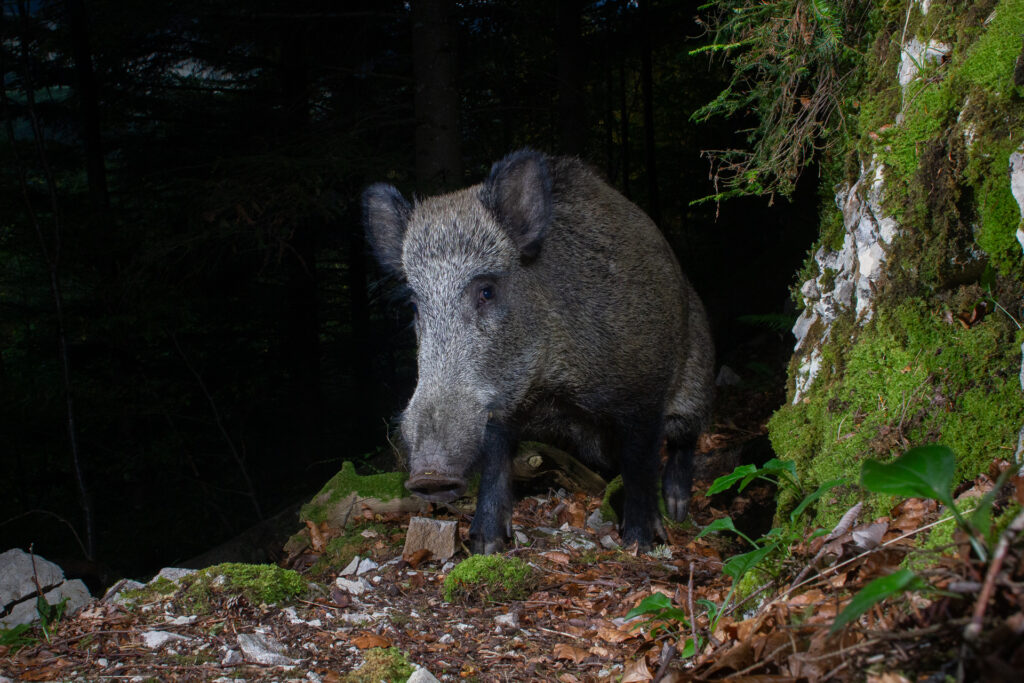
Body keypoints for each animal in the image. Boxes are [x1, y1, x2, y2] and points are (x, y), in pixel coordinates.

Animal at [363, 149, 714, 554]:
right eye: (415, 305)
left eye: (487, 291)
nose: (429, 477)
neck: (551, 384)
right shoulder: (500, 412)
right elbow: (496, 465)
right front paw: (484, 545)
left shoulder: (643, 387)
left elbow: (640, 464)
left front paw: (640, 544)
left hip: (697, 378)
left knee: (685, 438)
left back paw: (677, 509)